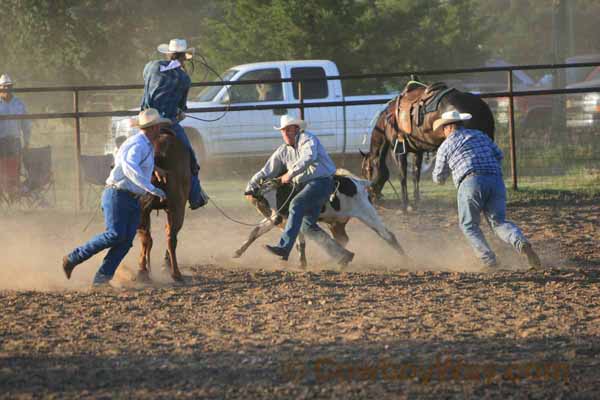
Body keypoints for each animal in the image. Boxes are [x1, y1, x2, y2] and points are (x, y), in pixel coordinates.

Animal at [137, 127, 191, 282]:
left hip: (141, 209)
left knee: (145, 238)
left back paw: (142, 271)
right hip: (177, 208)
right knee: (171, 238)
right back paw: (176, 273)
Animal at [234, 170, 408, 268]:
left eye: (267, 200)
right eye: (261, 201)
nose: (276, 219)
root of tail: (359, 182)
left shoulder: (286, 215)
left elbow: (298, 240)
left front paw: (299, 261)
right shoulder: (279, 217)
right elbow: (256, 232)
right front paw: (238, 252)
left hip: (367, 213)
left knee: (387, 235)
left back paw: (405, 259)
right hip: (337, 223)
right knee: (342, 238)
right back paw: (338, 259)